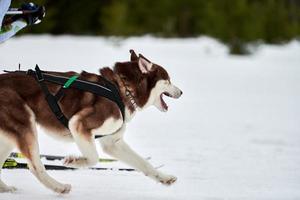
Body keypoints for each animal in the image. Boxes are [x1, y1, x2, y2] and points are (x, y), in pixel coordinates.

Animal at [0, 50, 183, 194]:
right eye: (168, 80)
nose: (181, 92)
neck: (122, 89)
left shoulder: (112, 142)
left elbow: (144, 163)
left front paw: (165, 178)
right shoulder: (79, 124)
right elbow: (94, 158)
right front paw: (74, 161)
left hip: (11, 136)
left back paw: (6, 189)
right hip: (26, 126)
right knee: (35, 166)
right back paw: (59, 187)